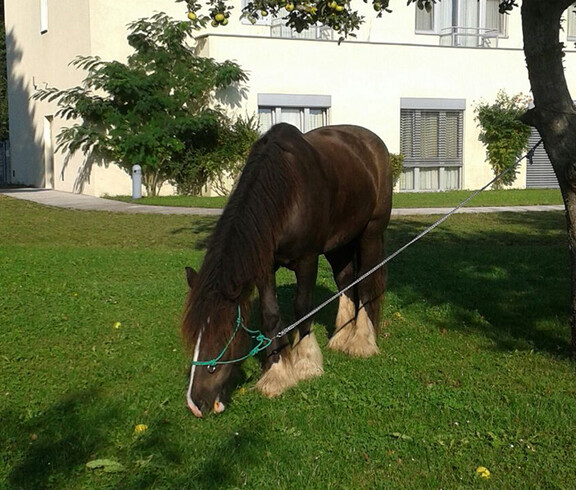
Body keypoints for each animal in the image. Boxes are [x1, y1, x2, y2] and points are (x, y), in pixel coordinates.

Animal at [182, 122, 394, 418]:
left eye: (223, 335)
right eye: (195, 336)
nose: (195, 403)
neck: (287, 193)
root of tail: (373, 143)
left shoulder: (307, 260)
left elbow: (302, 307)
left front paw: (305, 363)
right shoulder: (265, 266)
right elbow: (270, 314)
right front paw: (276, 373)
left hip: (370, 233)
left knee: (364, 284)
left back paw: (361, 342)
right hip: (339, 243)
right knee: (345, 281)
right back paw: (341, 337)